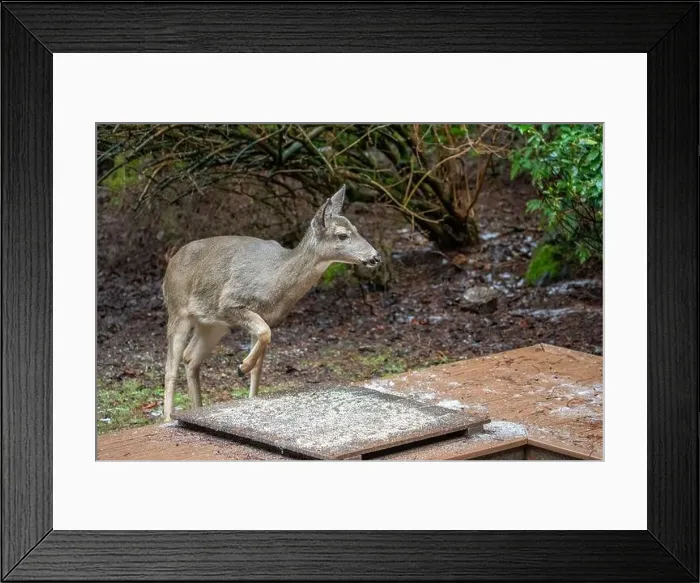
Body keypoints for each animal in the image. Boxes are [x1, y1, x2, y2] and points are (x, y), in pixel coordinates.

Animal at [161, 185, 381, 421]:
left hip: (213, 324)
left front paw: (250, 387)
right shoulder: (229, 302)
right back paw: (168, 419)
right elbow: (265, 333)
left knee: (191, 357)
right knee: (170, 366)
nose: (375, 257)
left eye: (356, 228)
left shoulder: (263, 317)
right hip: (178, 310)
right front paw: (241, 367)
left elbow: (259, 364)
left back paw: (197, 408)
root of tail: (170, 265)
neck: (275, 279)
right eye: (342, 235)